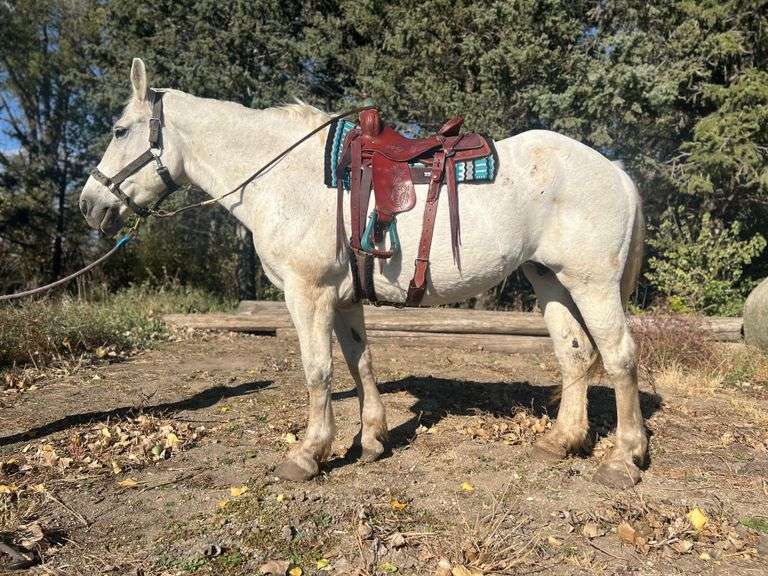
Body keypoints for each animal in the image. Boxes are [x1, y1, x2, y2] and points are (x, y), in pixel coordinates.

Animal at [79, 58, 647, 488]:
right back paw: (561, 442)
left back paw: (624, 458)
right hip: (549, 278)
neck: (286, 175)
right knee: (576, 354)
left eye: (119, 130)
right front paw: (371, 438)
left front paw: (309, 453)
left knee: (619, 356)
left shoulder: (308, 294)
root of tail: (616, 171)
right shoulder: (345, 296)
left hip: (592, 283)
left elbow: (318, 370)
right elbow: (360, 363)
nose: (89, 205)